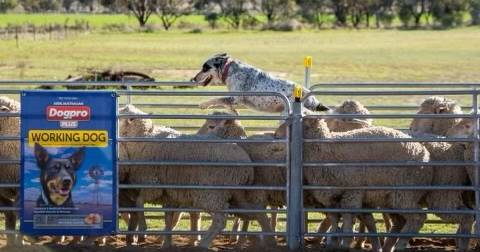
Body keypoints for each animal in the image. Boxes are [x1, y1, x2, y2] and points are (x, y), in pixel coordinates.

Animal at [191, 53, 330, 113]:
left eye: (205, 68)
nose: (193, 78)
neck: (229, 70)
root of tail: (311, 97)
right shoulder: (235, 101)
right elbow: (226, 105)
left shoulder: (236, 99)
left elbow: (216, 99)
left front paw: (203, 104)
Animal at [274, 113, 432, 252]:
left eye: (297, 123)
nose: (276, 135)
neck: (324, 149)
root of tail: (424, 153)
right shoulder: (330, 196)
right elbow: (335, 218)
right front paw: (333, 241)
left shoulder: (352, 192)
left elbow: (348, 216)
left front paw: (345, 243)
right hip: (392, 197)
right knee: (401, 221)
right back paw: (389, 246)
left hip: (404, 192)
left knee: (418, 217)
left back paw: (400, 245)